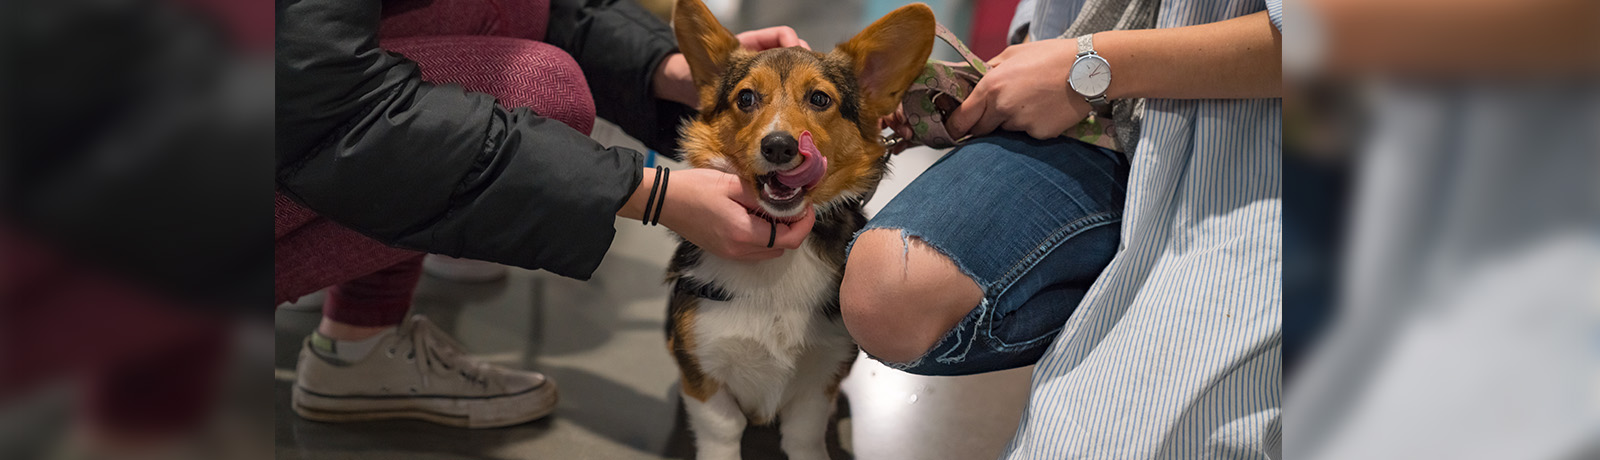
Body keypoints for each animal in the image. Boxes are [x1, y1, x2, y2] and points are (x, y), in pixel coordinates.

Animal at [662, 0, 934, 460]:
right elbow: (723, 430)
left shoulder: (820, 376)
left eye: (820, 98)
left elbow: (804, 434)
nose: (779, 146)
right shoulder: (702, 367)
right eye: (746, 97)